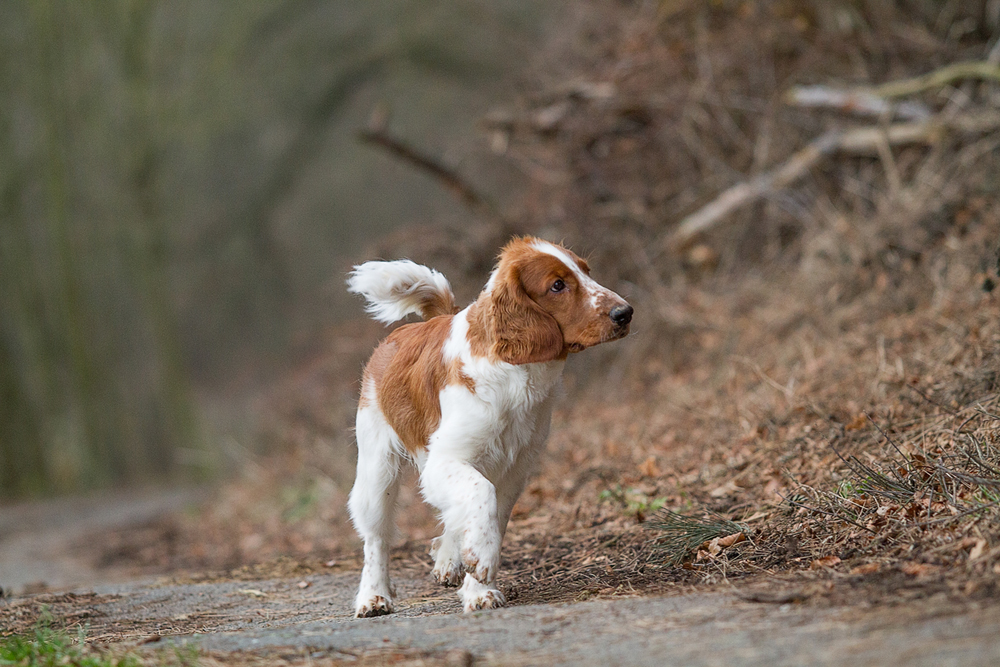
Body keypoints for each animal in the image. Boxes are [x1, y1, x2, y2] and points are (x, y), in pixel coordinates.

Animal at [344, 237, 632, 620]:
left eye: (587, 271)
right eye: (557, 285)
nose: (625, 312)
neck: (514, 373)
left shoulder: (513, 470)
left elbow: (490, 514)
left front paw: (479, 586)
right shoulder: (446, 459)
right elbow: (481, 495)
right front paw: (479, 563)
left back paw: (447, 560)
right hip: (378, 467)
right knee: (376, 537)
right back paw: (373, 596)